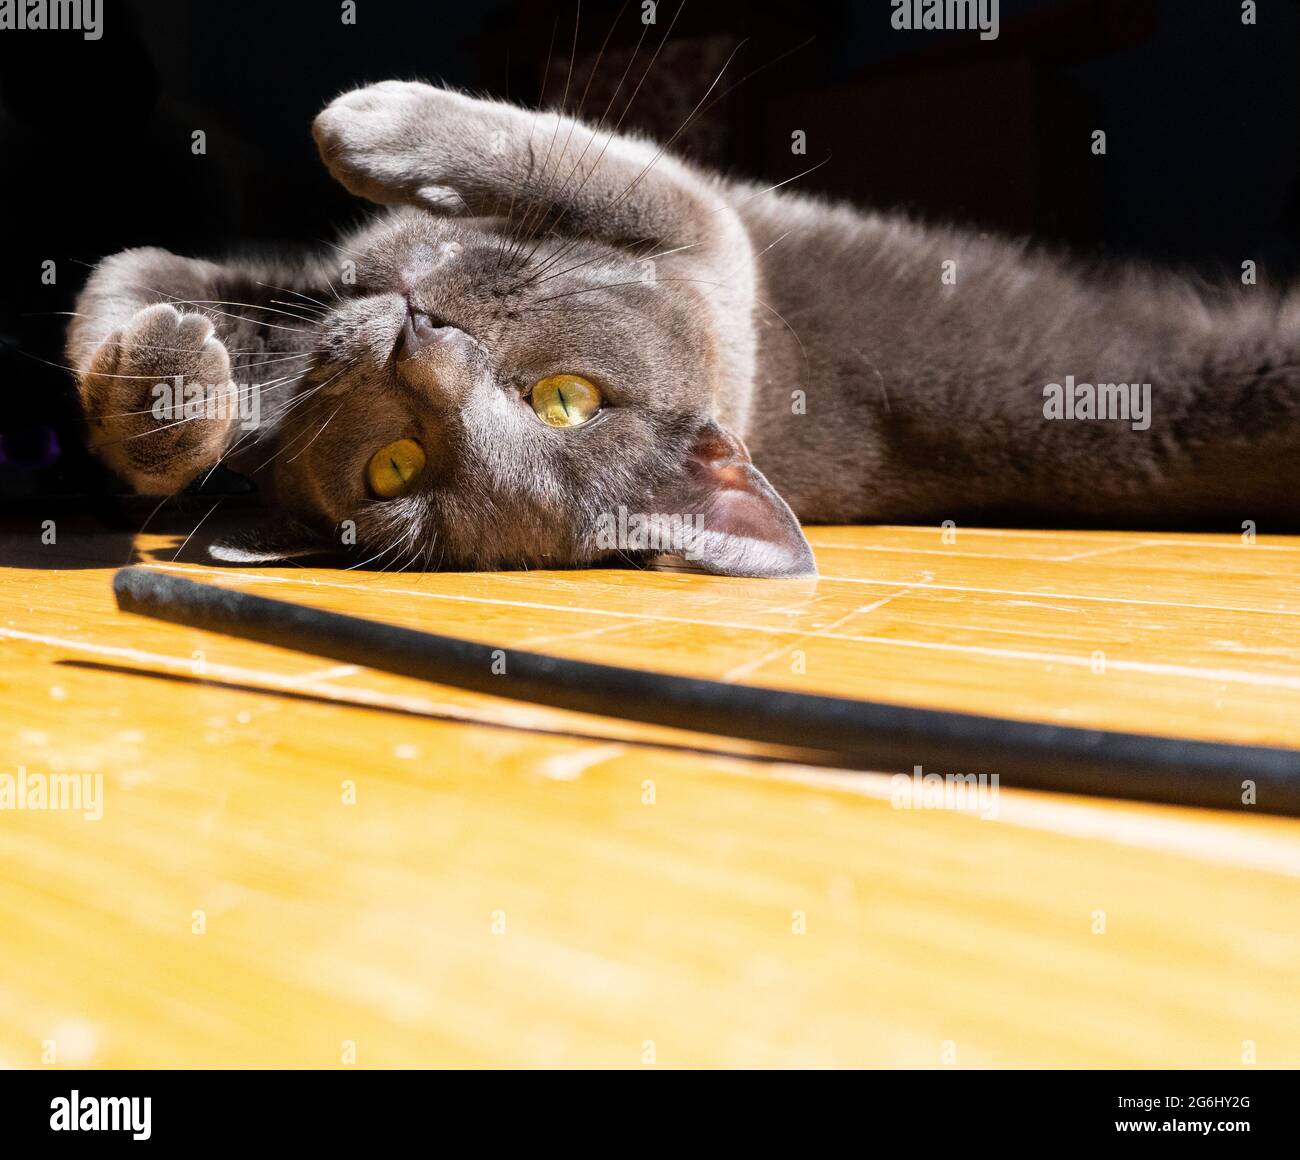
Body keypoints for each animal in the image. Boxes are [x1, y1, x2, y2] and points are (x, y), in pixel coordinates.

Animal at [71, 79, 1300, 577]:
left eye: (564, 400)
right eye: (396, 464)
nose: (419, 337)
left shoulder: (712, 245)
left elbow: (582, 162)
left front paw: (364, 124)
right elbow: (126, 280)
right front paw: (172, 390)